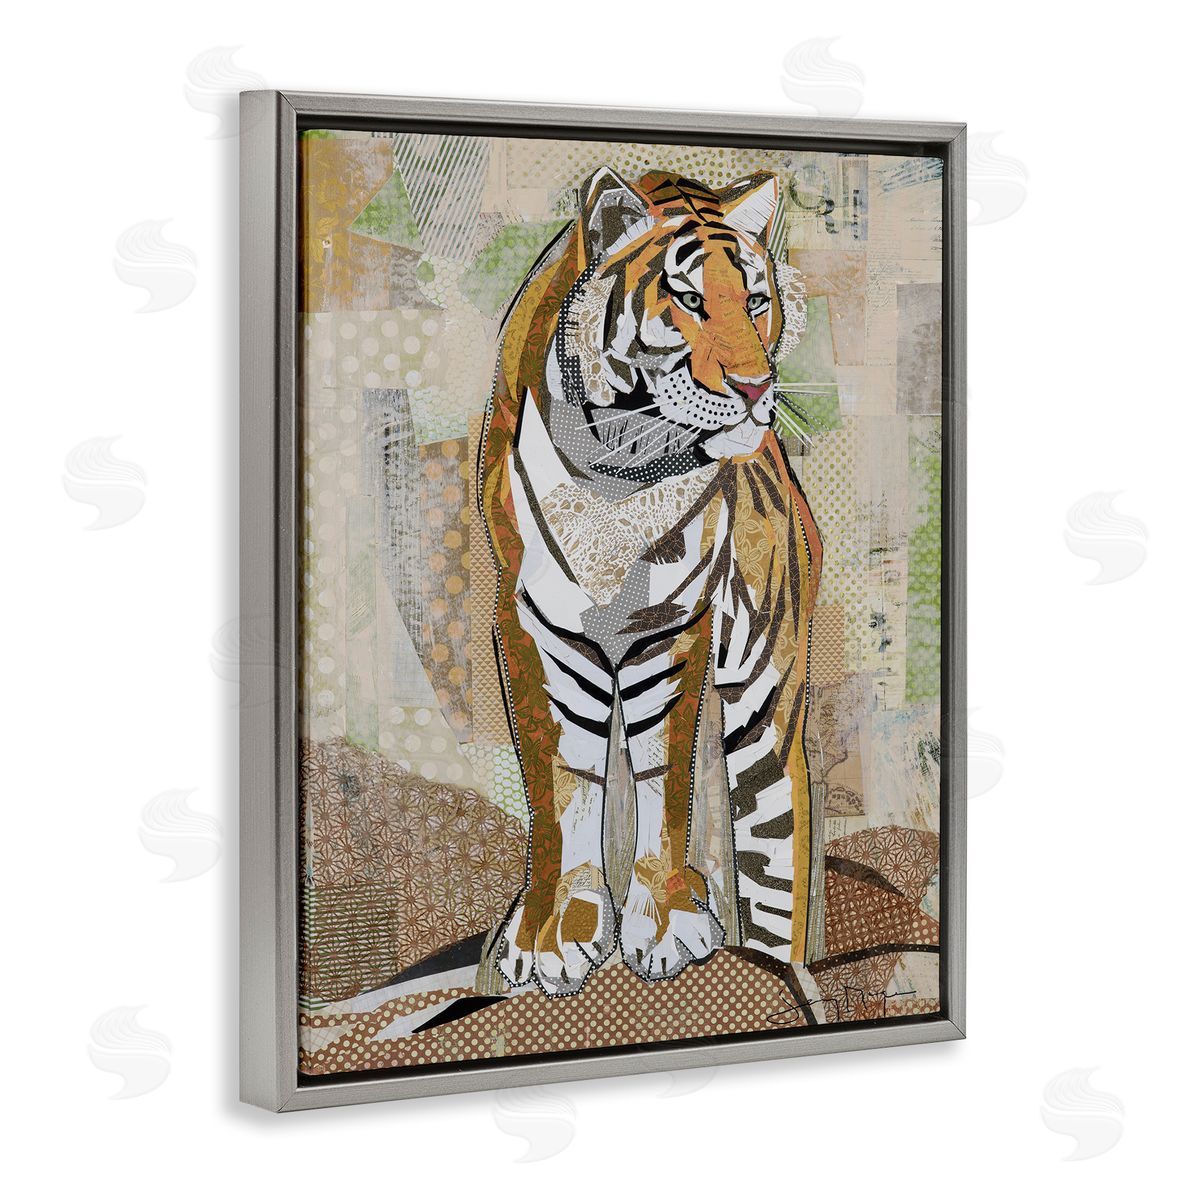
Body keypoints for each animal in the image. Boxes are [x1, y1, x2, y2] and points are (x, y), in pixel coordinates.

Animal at [479, 165, 822, 997]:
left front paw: (665, 925)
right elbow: (560, 781)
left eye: (755, 301)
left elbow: (664, 782)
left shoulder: (670, 627)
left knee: (773, 857)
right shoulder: (533, 621)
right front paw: (552, 935)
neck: (618, 474)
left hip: (767, 713)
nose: (756, 387)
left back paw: (783, 965)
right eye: (691, 301)